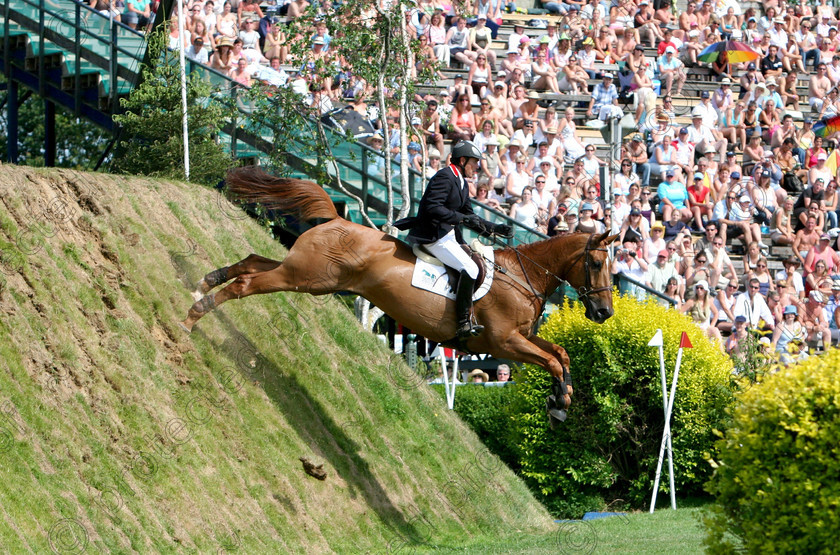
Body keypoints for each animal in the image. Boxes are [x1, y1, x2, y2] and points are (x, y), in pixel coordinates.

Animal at [182, 167, 616, 428]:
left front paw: (561, 400)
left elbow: (561, 354)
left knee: (252, 262)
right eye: (596, 263)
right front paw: (559, 403)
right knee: (246, 285)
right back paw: (194, 314)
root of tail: (338, 219)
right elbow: (552, 360)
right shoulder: (503, 342)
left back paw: (205, 282)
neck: (522, 276)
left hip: (307, 273)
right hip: (307, 277)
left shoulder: (521, 337)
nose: (604, 313)